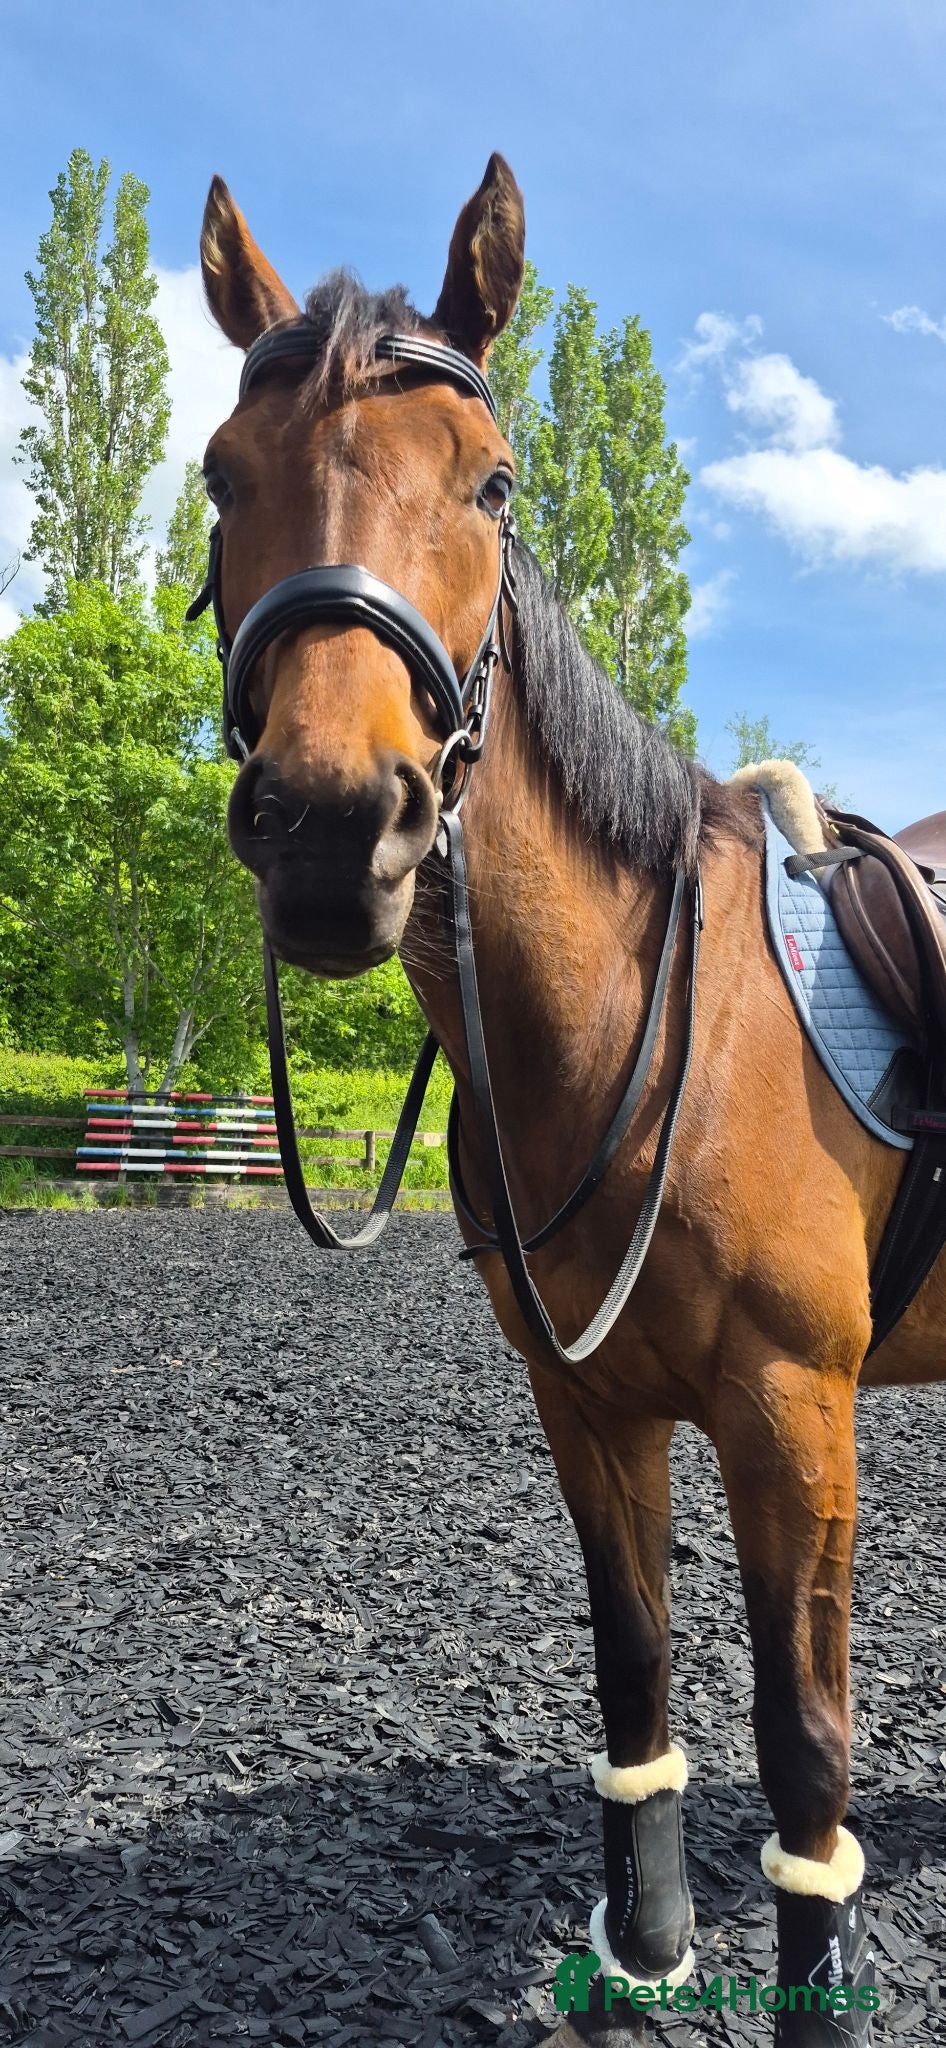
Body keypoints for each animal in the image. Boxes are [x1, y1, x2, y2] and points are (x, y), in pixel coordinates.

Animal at [193, 154, 945, 2044]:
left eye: (493, 482)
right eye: (227, 477)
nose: (333, 828)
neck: (640, 1021)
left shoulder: (792, 1415)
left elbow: (804, 1742)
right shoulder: (588, 1405)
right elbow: (635, 1674)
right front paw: (647, 1950)